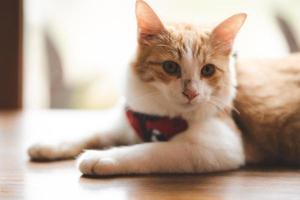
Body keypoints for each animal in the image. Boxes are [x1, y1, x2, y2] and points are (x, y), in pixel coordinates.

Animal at [28, 0, 248, 175]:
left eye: (208, 70)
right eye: (170, 67)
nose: (191, 93)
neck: (158, 115)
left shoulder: (221, 148)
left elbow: (153, 149)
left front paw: (98, 158)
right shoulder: (125, 121)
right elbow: (94, 131)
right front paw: (50, 144)